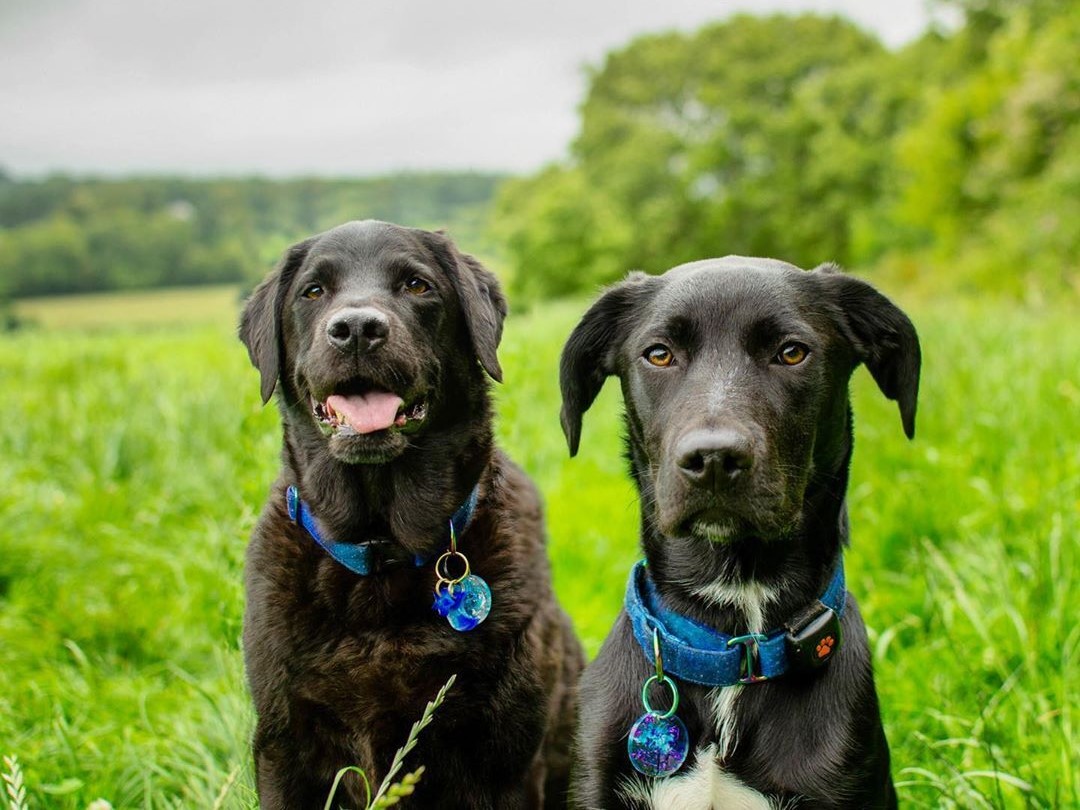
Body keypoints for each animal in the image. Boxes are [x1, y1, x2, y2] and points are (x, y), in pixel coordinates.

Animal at [241, 222, 587, 810]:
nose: (357, 329)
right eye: (313, 291)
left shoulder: (506, 762)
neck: (382, 552)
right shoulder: (282, 747)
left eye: (416, 285)